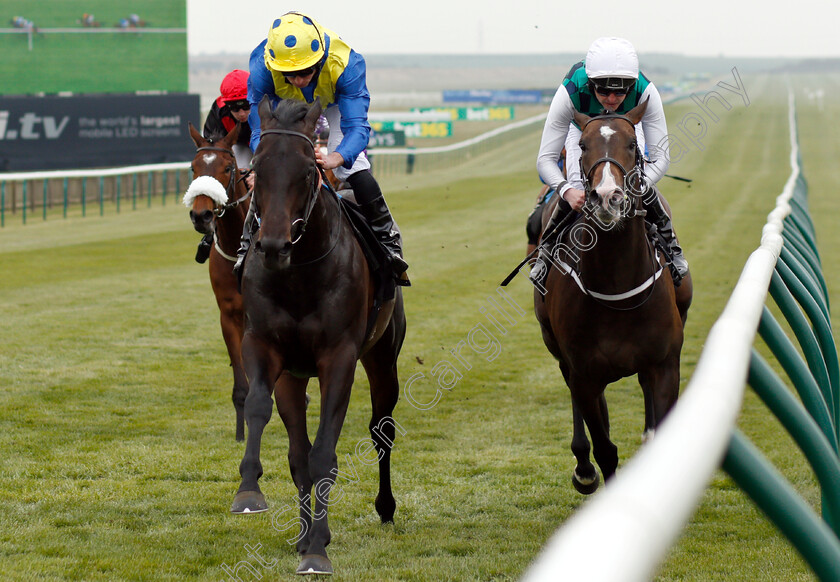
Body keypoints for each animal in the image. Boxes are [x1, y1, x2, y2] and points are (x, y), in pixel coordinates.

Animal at [231, 98, 406, 576]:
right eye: (256, 167)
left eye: (309, 170)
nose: (272, 245)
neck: (299, 275)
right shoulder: (263, 345)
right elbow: (261, 411)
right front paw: (249, 490)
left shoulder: (339, 357)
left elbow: (325, 454)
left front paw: (317, 553)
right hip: (293, 376)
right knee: (297, 454)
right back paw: (305, 532)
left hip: (383, 356)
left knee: (381, 430)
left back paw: (383, 508)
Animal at [536, 100, 692, 498]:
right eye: (583, 146)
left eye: (633, 145)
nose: (607, 196)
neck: (617, 287)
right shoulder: (584, 374)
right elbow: (605, 447)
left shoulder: (663, 363)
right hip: (560, 353)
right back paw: (583, 467)